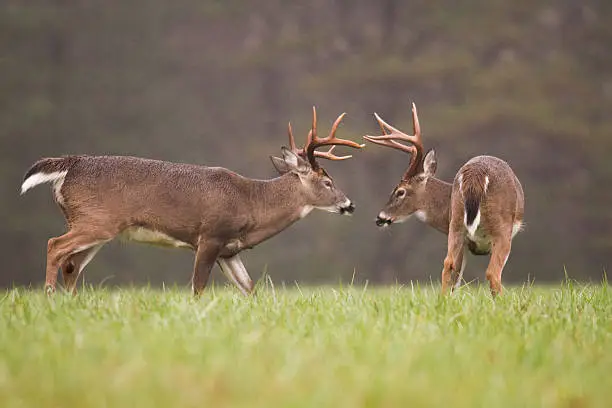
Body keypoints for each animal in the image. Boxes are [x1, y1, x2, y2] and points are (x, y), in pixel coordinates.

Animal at [21, 105, 360, 296]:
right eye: (328, 181)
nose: (349, 205)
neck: (251, 204)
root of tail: (69, 166)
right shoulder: (209, 236)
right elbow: (197, 288)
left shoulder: (229, 250)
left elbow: (250, 288)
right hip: (96, 221)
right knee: (55, 246)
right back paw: (49, 297)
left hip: (96, 227)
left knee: (72, 265)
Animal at [364, 103, 524, 296]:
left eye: (400, 192)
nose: (380, 217)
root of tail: (476, 175)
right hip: (500, 227)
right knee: (493, 273)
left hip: (457, 223)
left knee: (448, 264)